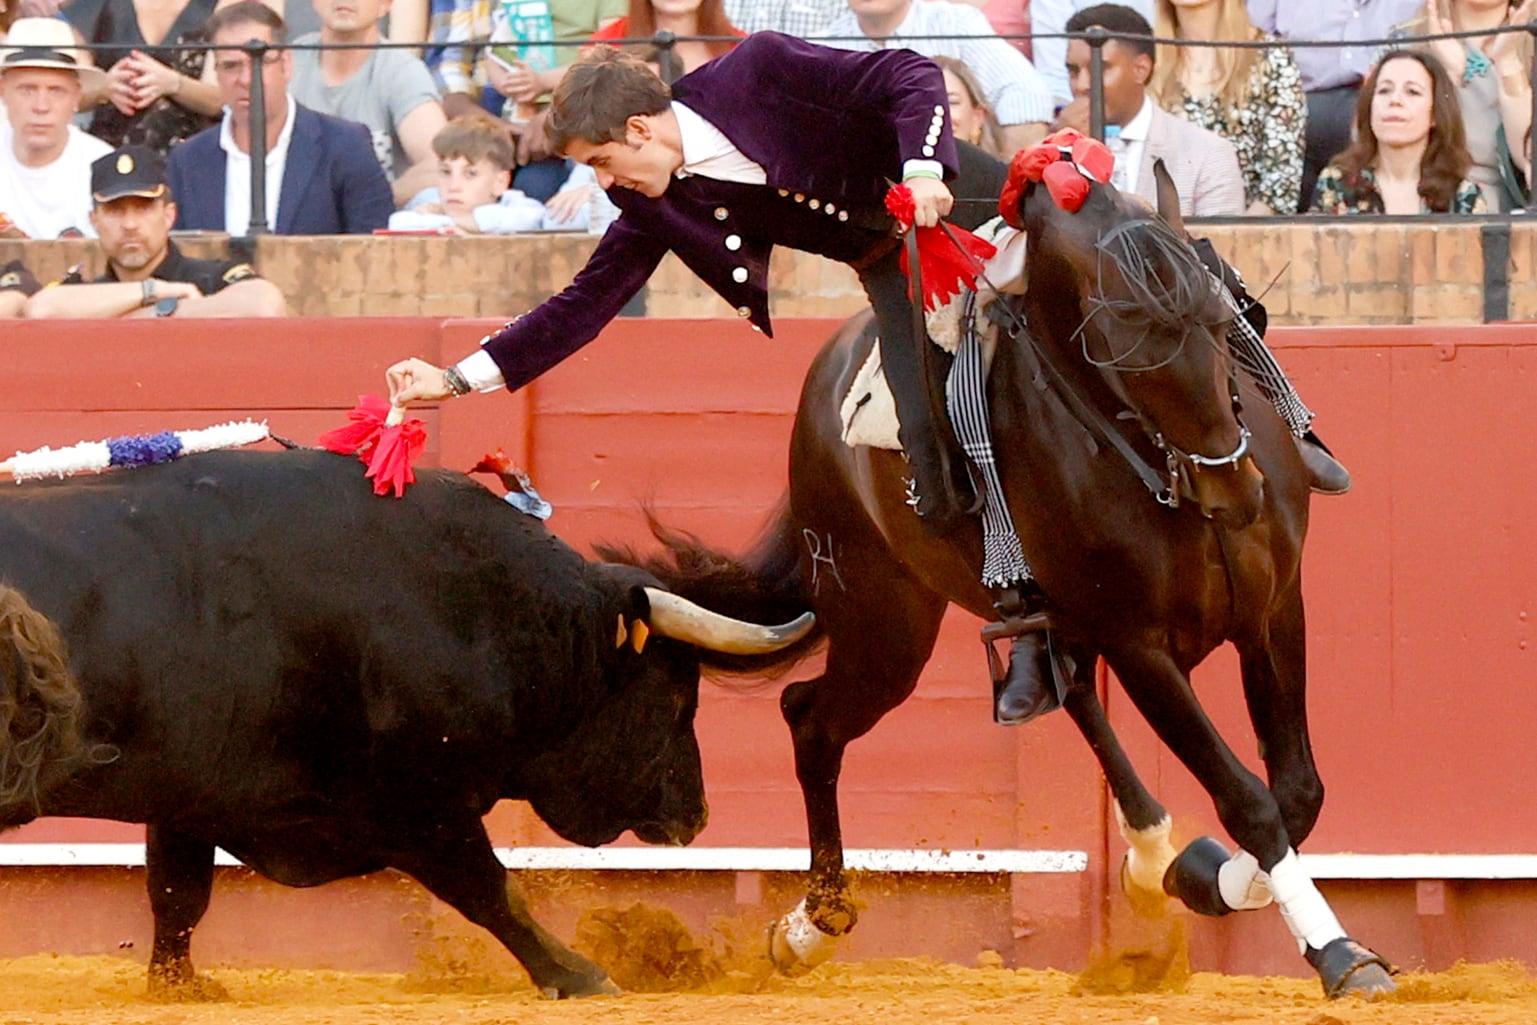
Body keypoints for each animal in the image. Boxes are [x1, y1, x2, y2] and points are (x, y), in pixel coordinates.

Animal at [0, 445, 817, 995]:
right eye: (676, 697)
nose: (697, 816)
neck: (481, 606)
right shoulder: (421, 802)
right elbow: (491, 888)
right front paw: (581, 973)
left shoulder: (192, 791)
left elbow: (177, 895)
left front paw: (182, 987)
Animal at [608, 164, 1395, 995]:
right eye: (1117, 347)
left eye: (1220, 320)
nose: (1235, 491)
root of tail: (818, 394)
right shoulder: (1137, 640)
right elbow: (1247, 796)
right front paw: (1337, 952)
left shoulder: (1273, 608)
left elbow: (1297, 789)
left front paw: (1201, 874)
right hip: (884, 626)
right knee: (810, 717)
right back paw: (812, 925)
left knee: (1070, 690)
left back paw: (1147, 850)